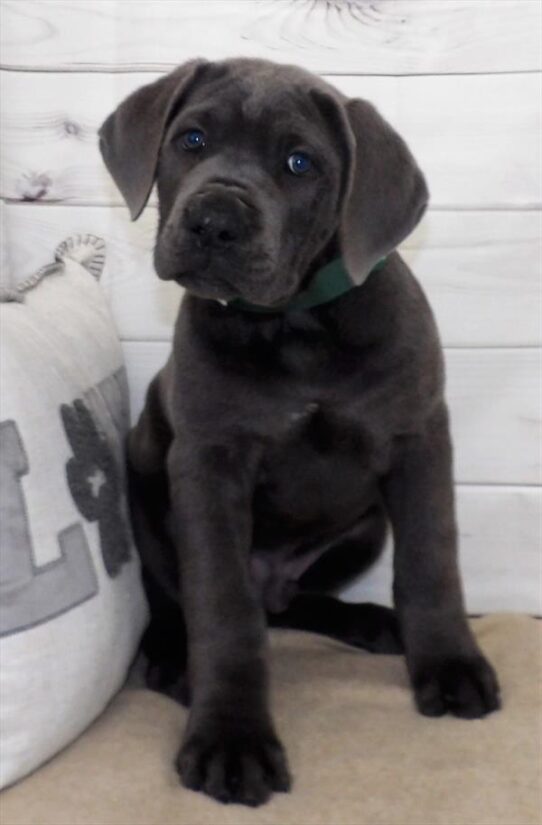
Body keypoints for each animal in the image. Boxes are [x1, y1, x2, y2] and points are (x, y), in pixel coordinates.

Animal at [99, 58, 502, 804]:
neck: (294, 325)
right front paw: (231, 739)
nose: (215, 220)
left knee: (289, 604)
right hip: (144, 484)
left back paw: (372, 621)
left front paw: (449, 662)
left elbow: (432, 561)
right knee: (187, 601)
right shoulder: (207, 465)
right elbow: (222, 608)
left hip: (364, 527)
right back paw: (173, 661)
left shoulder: (419, 439)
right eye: (191, 139)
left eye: (299, 163)